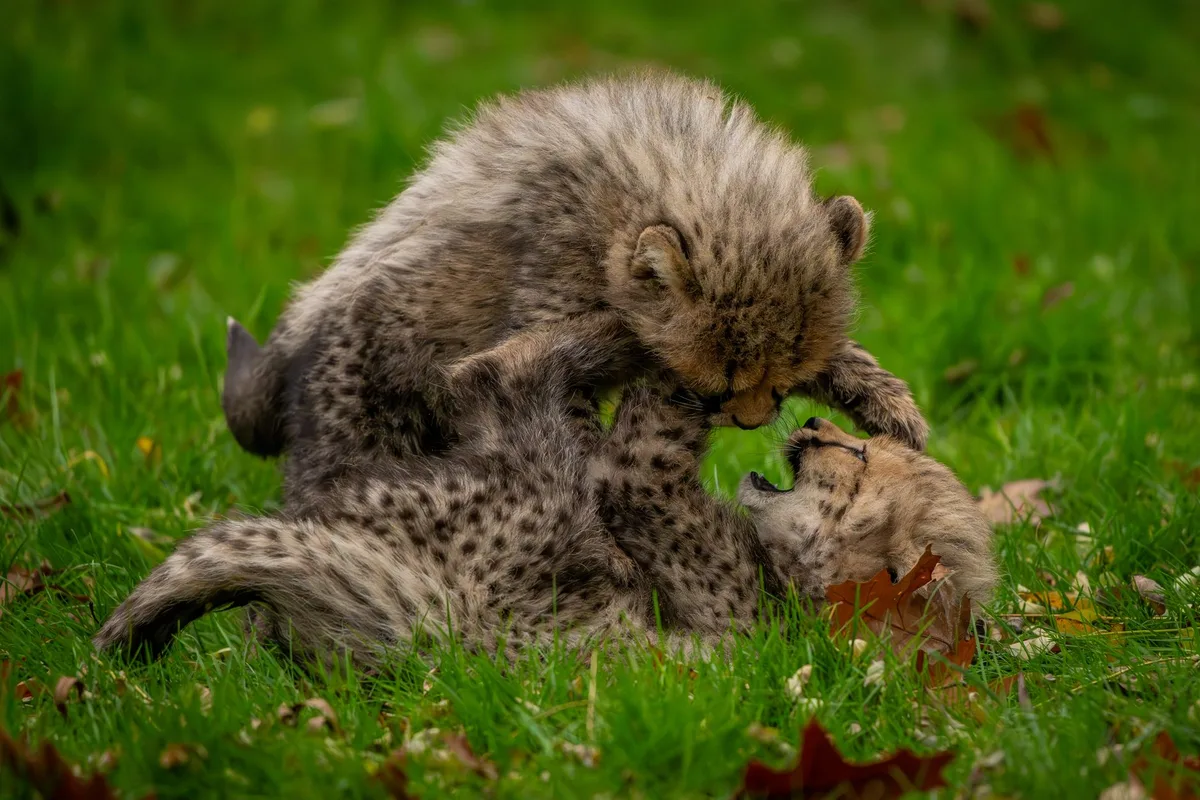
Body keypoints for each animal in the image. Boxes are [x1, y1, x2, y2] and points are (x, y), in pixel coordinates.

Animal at [96, 317, 993, 669]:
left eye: (855, 463)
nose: (811, 430)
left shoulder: (643, 493)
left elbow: (647, 440)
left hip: (529, 500)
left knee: (501, 373)